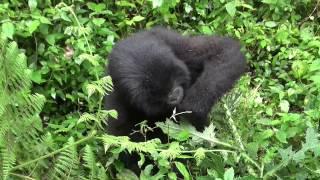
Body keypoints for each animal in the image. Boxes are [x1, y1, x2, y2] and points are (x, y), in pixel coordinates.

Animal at [104, 26, 246, 172]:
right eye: (154, 93)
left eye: (171, 78)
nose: (174, 95)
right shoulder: (117, 105)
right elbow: (132, 152)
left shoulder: (180, 47)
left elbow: (222, 50)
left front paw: (193, 106)